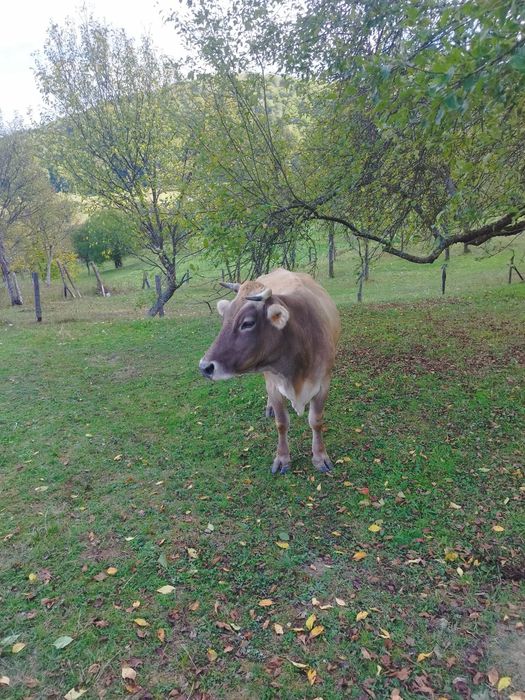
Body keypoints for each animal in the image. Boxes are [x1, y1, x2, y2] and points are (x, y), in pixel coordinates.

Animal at [199, 268, 341, 474]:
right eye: (224, 319)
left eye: (247, 323)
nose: (204, 367)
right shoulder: (274, 385)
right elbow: (282, 423)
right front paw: (282, 458)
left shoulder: (323, 383)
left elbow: (316, 421)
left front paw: (320, 456)